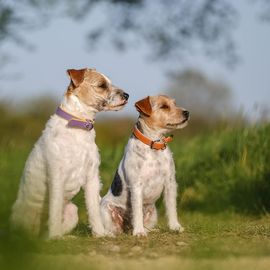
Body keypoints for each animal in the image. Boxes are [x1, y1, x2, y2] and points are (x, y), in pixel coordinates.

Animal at [100, 95, 189, 236]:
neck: (154, 144)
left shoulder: (170, 183)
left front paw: (175, 226)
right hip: (105, 210)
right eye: (164, 106)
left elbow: (171, 208)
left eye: (174, 103)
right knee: (110, 230)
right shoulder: (136, 185)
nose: (187, 112)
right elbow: (137, 211)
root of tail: (127, 228)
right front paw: (139, 232)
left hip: (153, 212)